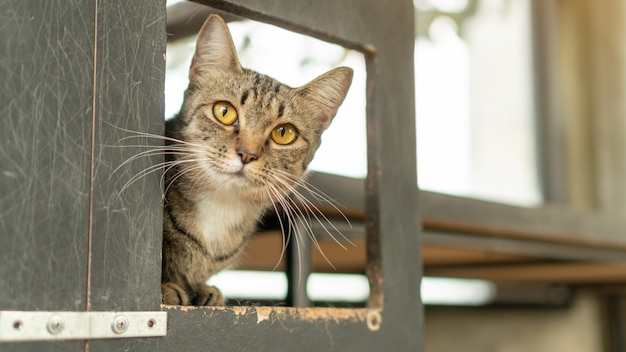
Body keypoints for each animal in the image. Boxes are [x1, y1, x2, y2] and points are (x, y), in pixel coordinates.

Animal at [160, 14, 352, 306]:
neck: (221, 207)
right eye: (224, 112)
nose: (247, 154)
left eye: (284, 133)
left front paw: (205, 290)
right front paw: (166, 288)